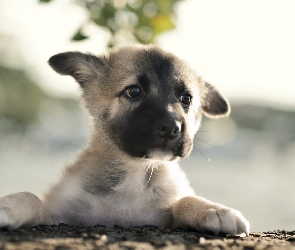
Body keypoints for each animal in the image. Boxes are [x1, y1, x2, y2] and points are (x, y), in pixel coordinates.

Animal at [0, 45, 250, 236]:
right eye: (134, 91)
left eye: (186, 98)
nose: (171, 128)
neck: (136, 174)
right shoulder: (58, 213)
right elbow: (33, 198)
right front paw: (9, 204)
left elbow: (183, 200)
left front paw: (214, 210)